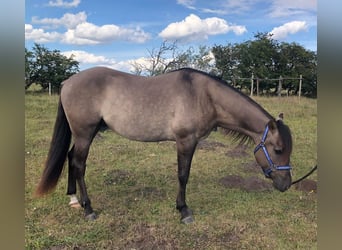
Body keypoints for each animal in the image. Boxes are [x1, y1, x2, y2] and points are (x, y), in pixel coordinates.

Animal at [36, 66, 292, 223]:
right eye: (278, 150)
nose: (286, 184)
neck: (204, 96)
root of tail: (68, 82)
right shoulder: (186, 141)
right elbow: (183, 175)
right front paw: (184, 211)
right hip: (84, 133)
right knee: (79, 164)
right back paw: (88, 209)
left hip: (84, 134)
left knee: (71, 158)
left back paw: (73, 199)